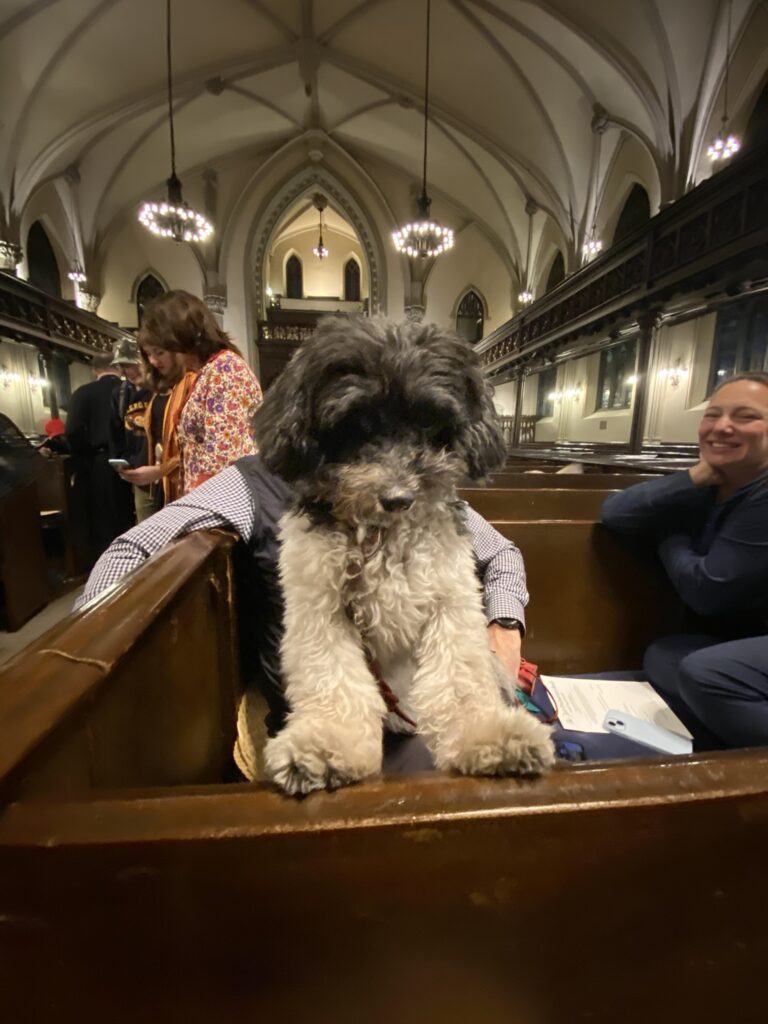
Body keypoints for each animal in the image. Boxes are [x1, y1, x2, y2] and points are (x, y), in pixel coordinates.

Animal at [256, 315, 557, 794]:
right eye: (356, 426)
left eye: (430, 426)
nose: (398, 498)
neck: (382, 536)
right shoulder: (321, 608)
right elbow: (333, 680)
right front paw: (327, 745)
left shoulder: (450, 600)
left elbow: (461, 679)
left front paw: (488, 737)